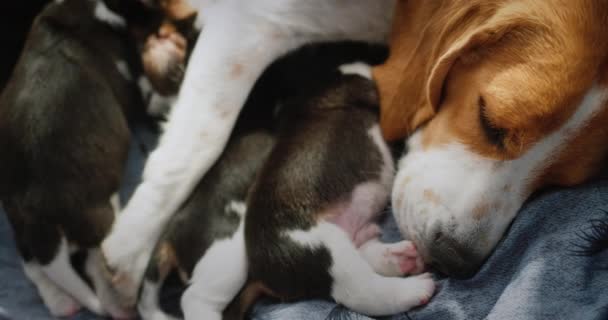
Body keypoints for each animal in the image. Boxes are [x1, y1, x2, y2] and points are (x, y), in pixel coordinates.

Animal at [0, 0, 156, 316]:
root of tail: (37, 214)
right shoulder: (135, 88)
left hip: (22, 232)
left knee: (34, 267)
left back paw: (61, 302)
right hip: (100, 219)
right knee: (99, 265)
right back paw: (117, 306)